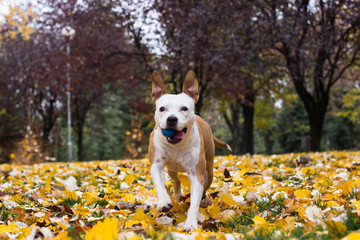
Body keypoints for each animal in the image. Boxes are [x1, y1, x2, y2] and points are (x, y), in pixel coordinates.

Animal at [148, 70, 231, 232]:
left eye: (184, 108)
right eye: (162, 109)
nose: (172, 119)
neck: (177, 145)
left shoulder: (196, 173)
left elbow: (194, 202)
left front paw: (191, 223)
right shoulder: (157, 165)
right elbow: (160, 185)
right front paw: (164, 202)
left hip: (208, 171)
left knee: (203, 188)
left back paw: (204, 200)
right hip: (172, 169)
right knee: (176, 181)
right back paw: (175, 196)